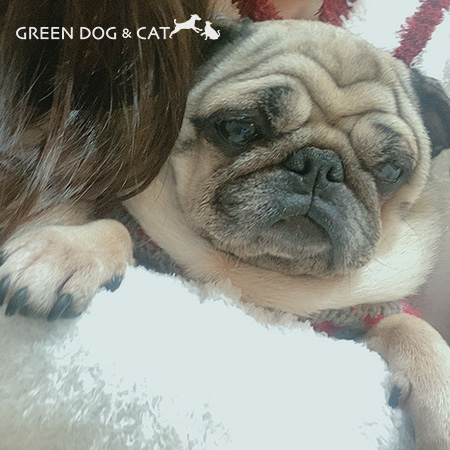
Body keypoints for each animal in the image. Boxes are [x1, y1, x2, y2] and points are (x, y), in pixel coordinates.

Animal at [1, 19, 450, 449]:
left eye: (391, 170)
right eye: (238, 129)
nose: (321, 165)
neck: (248, 277)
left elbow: (405, 324)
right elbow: (111, 225)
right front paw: (68, 251)